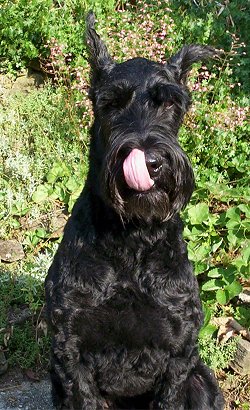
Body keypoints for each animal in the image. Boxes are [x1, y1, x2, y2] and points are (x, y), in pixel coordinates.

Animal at [45, 12, 225, 410]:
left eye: (171, 104)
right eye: (111, 103)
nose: (151, 161)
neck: (132, 239)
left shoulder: (179, 351)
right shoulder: (70, 349)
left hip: (203, 380)